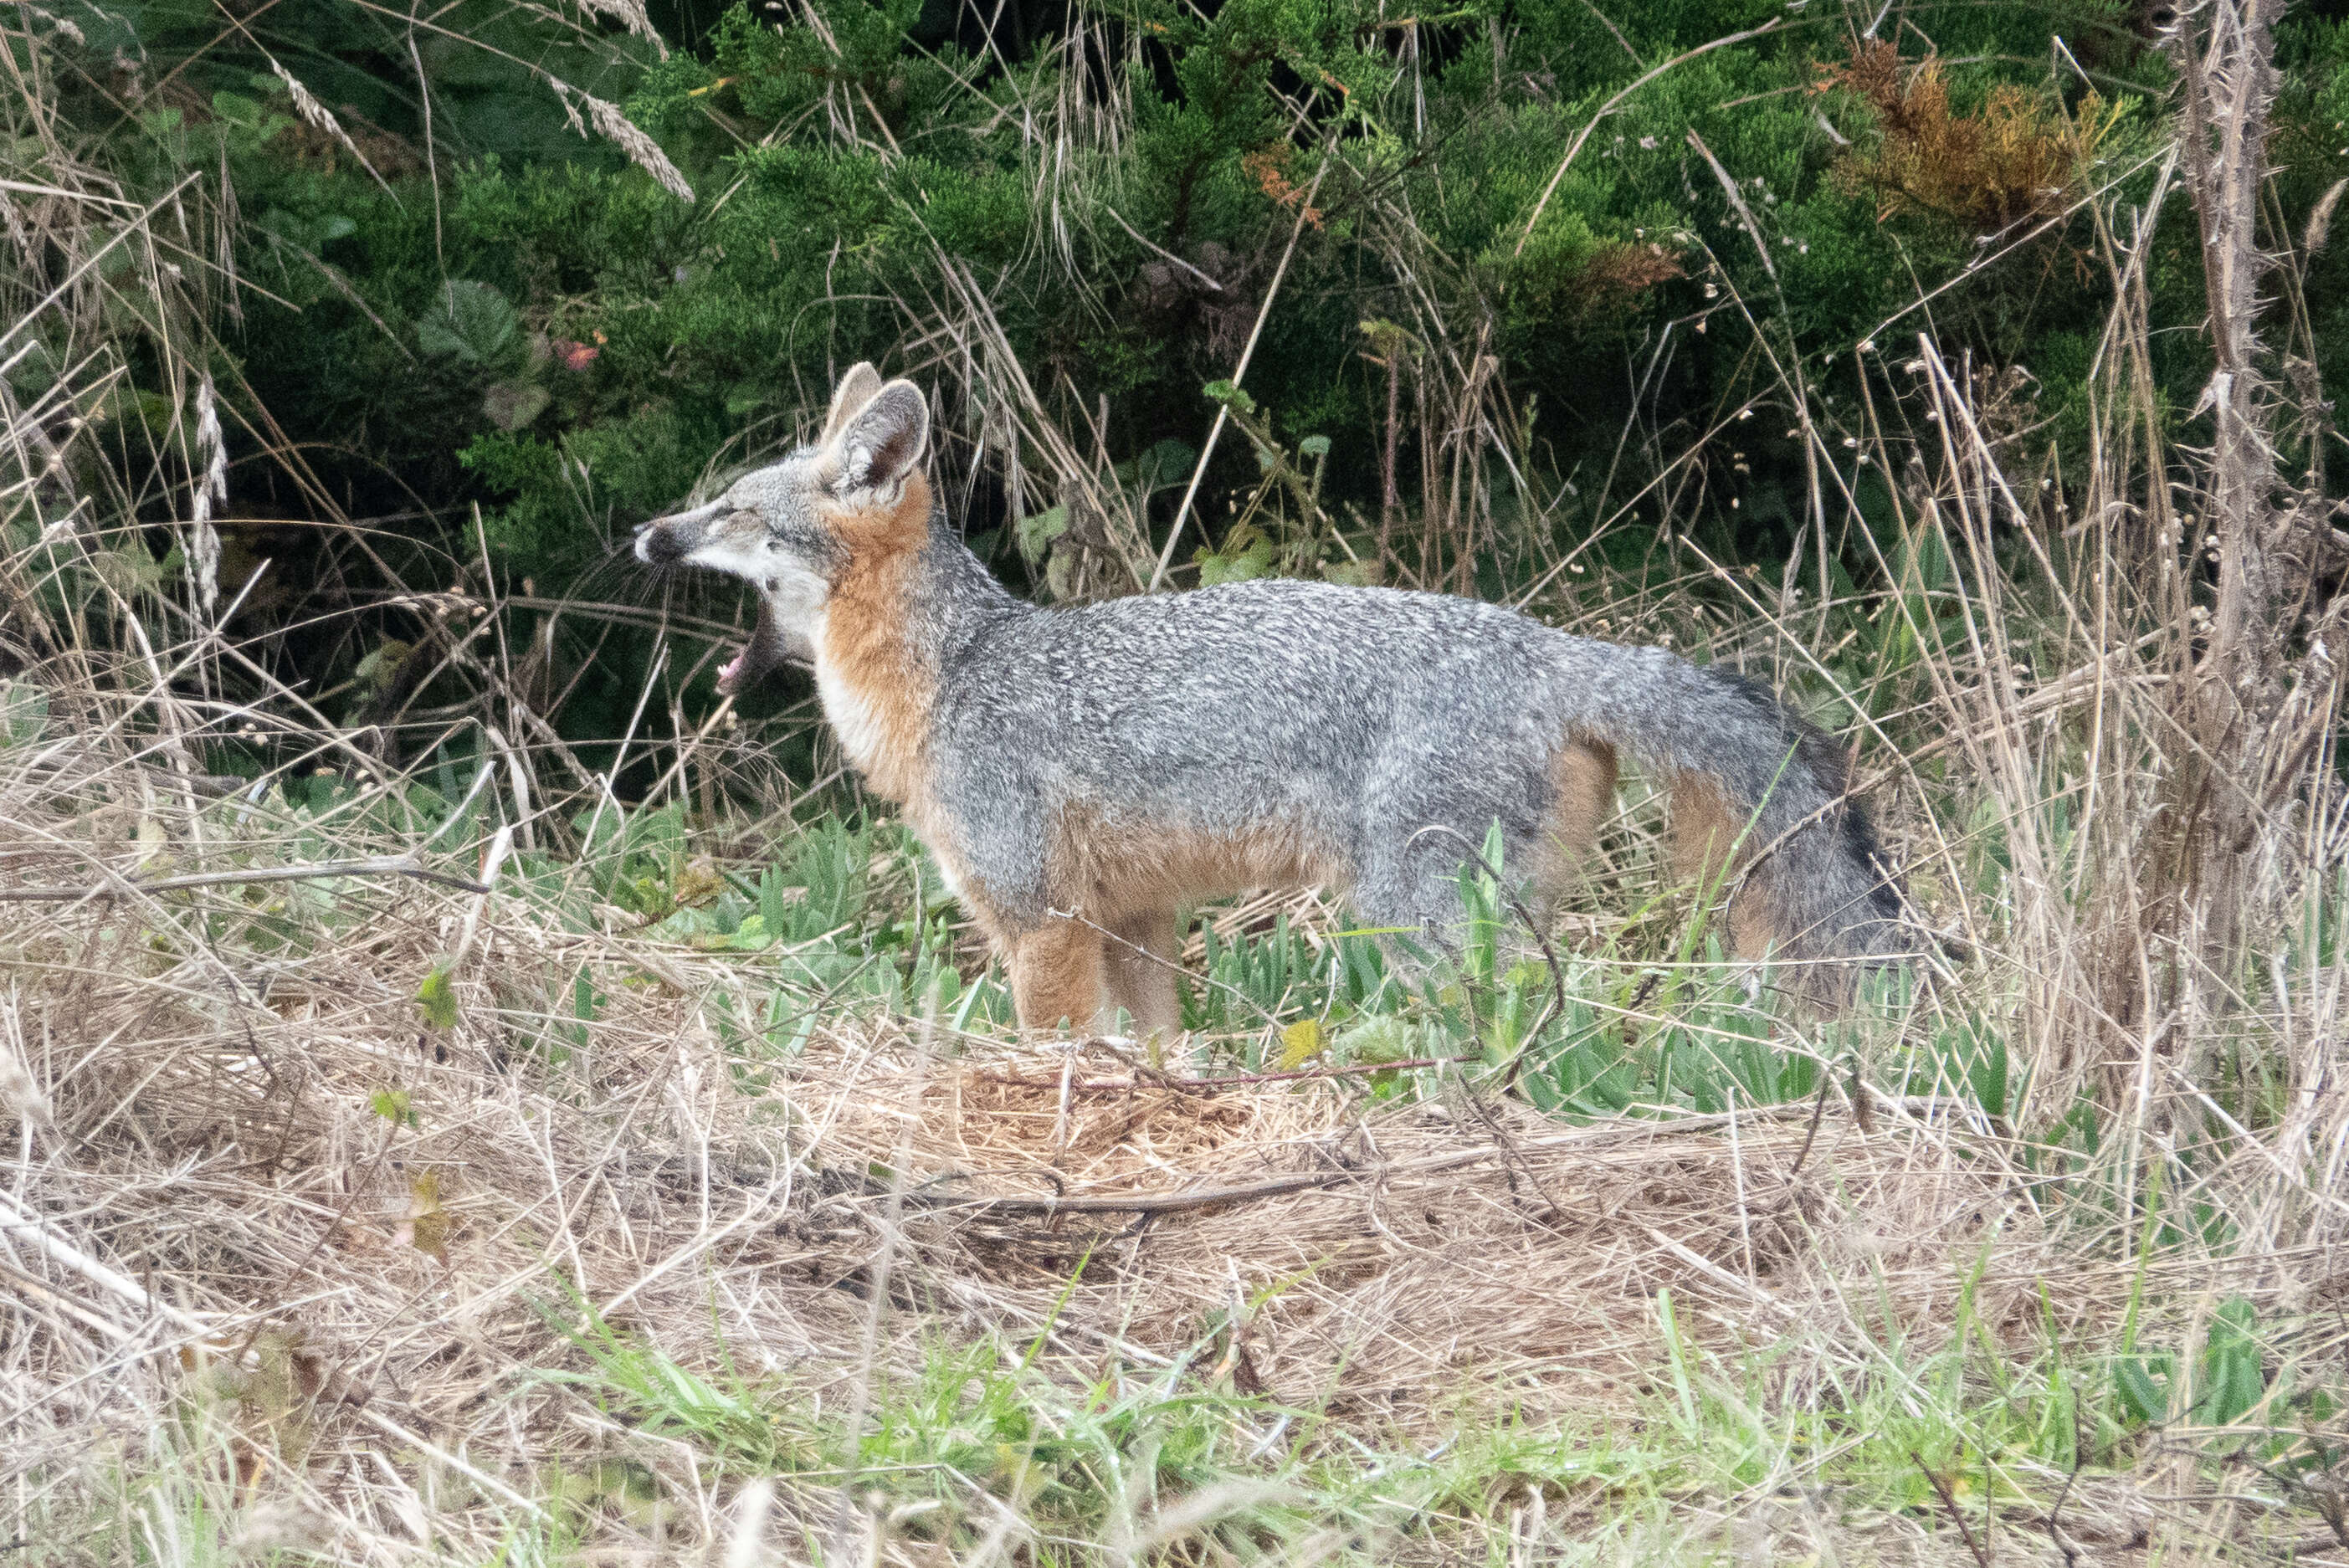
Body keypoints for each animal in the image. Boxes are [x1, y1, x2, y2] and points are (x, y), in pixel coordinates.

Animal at [639, 361, 1907, 1033]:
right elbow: (1151, 1051)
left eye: (733, 511)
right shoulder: (1134, 921)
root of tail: (1551, 644)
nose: (646, 535)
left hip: (1414, 919)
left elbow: (1053, 1051)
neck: (952, 676)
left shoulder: (1038, 918)